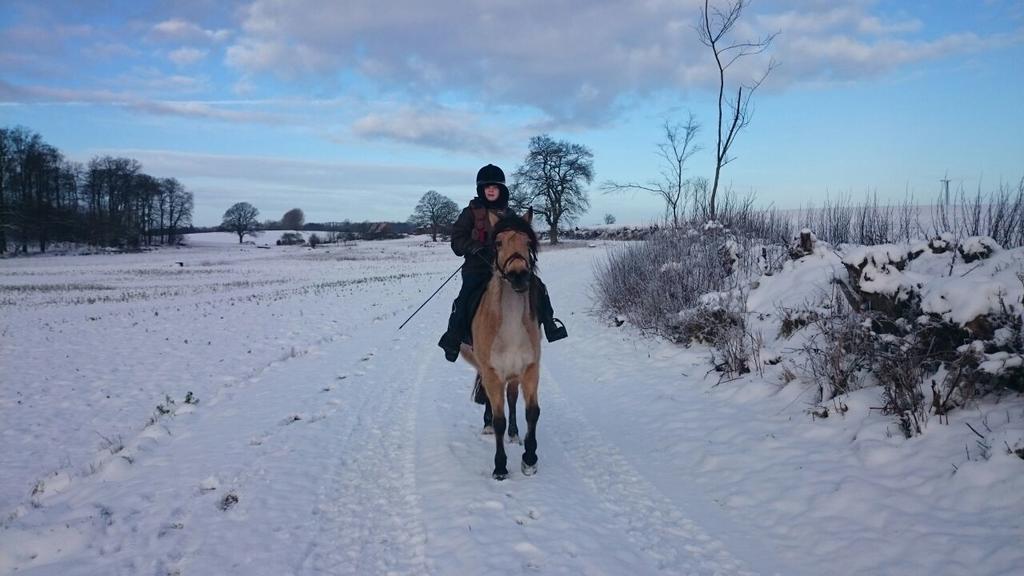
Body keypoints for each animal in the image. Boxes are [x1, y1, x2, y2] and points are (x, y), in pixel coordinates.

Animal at [460, 208, 544, 477]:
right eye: (497, 242)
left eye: (528, 242)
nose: (518, 275)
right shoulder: (492, 372)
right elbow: (499, 420)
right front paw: (500, 467)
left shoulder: (529, 370)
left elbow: (532, 412)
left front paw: (529, 458)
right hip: (485, 369)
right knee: (490, 399)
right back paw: (487, 425)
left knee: (512, 397)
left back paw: (515, 434)